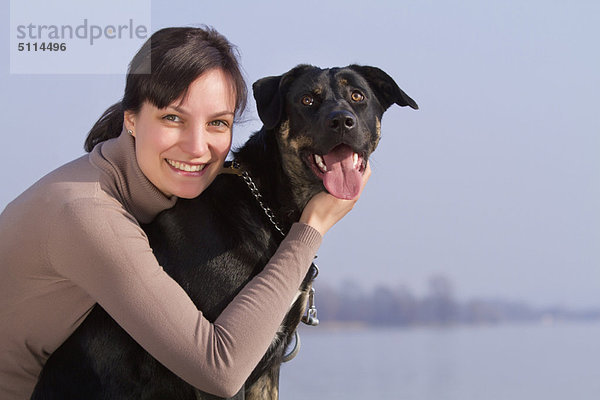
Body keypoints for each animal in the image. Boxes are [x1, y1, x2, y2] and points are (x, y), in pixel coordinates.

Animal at [31, 64, 418, 398]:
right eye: (308, 100)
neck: (268, 210)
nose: (342, 121)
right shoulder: (219, 364)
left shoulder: (268, 367)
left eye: (358, 96)